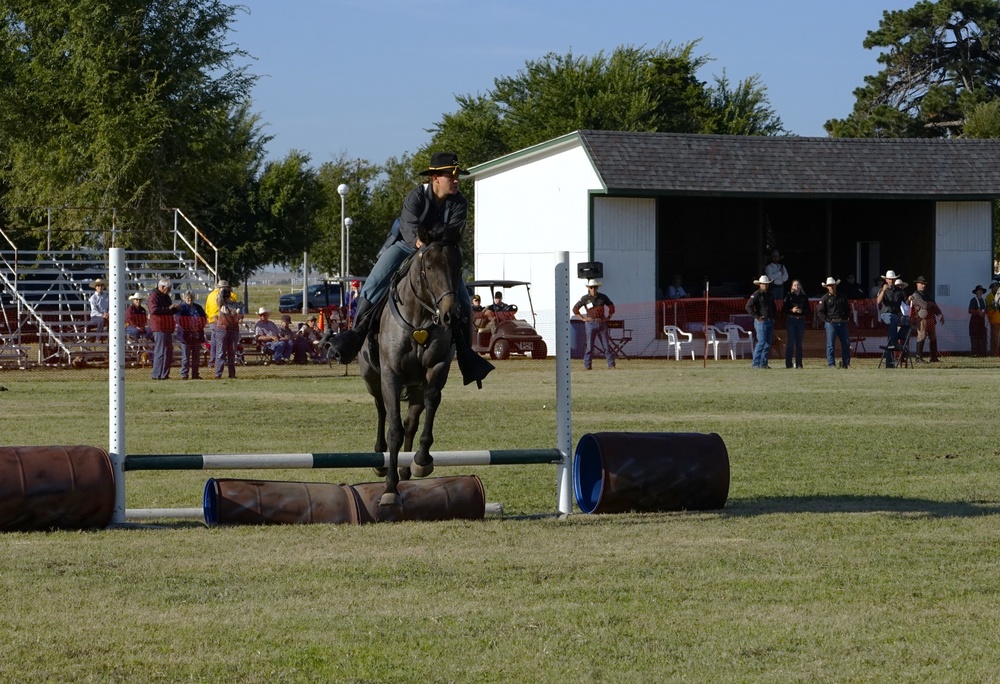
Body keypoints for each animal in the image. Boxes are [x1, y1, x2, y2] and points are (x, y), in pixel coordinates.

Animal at [356, 238, 464, 520]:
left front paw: (421, 461)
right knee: (382, 410)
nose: (451, 315)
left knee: (411, 422)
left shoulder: (437, 369)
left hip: (414, 387)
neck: (420, 319)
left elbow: (430, 404)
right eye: (429, 267)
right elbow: (393, 428)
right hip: (372, 378)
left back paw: (406, 469)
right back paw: (381, 460)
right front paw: (389, 490)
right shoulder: (390, 376)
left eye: (459, 265)